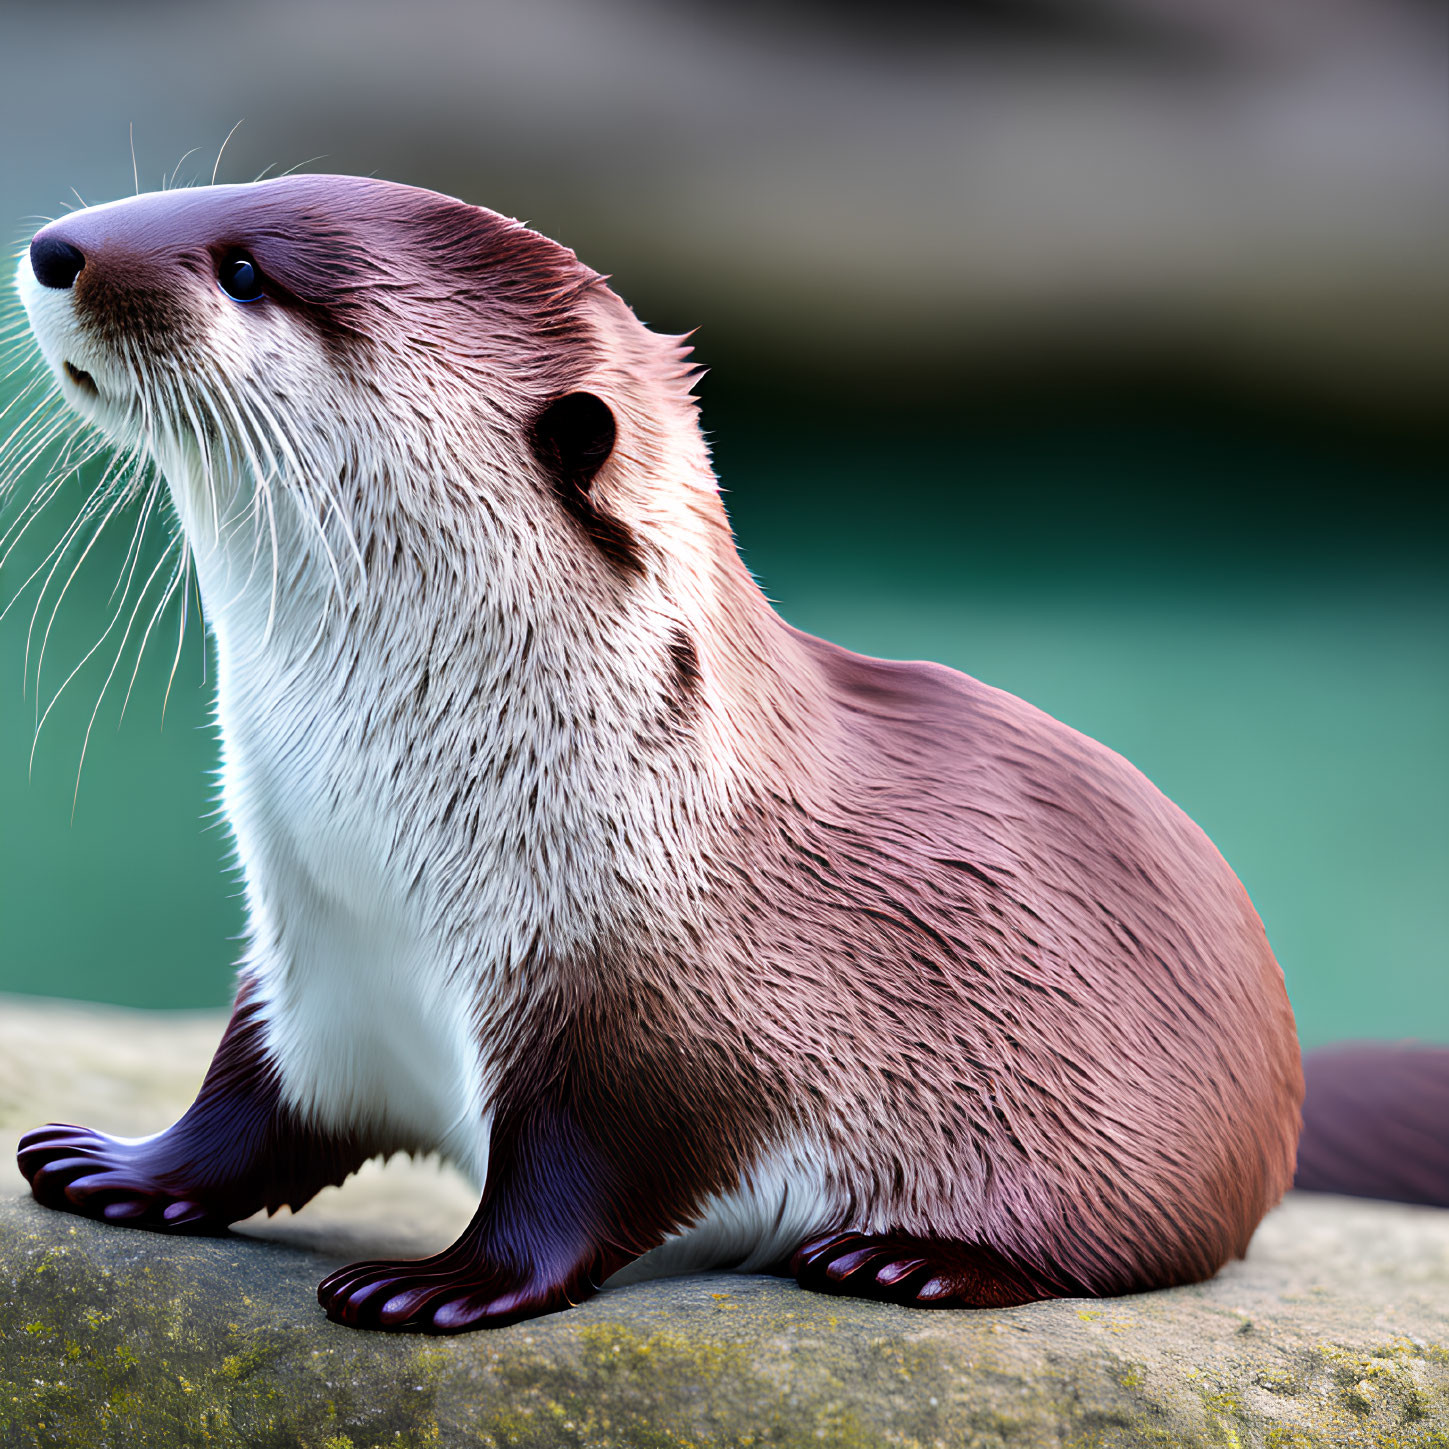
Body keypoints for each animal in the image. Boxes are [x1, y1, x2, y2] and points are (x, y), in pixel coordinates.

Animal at [11, 178, 1309, 1333]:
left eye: (244, 272)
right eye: (220, 190)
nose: (53, 247)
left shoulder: (656, 1020)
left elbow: (578, 1181)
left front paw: (444, 1285)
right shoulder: (312, 956)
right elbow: (250, 1104)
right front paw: (119, 1167)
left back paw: (909, 1261)